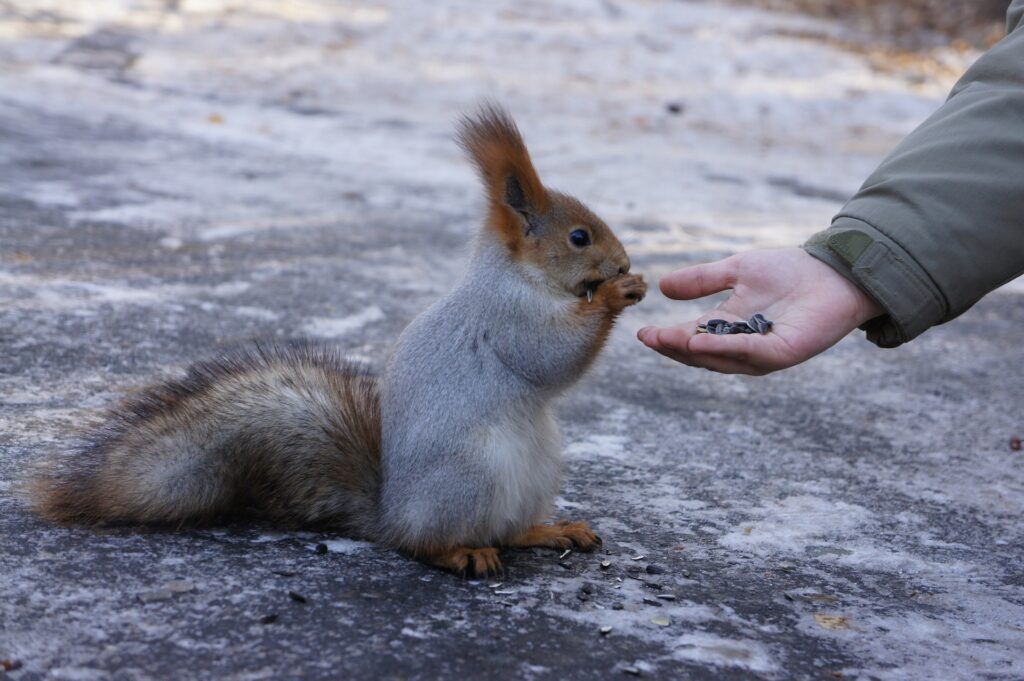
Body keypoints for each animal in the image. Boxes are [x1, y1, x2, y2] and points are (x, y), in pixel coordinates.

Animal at [28, 104, 647, 578]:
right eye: (579, 237)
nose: (623, 264)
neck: (519, 275)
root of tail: (392, 515)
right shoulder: (506, 317)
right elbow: (549, 357)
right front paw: (614, 296)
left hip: (537, 469)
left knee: (508, 530)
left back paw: (551, 530)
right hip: (469, 477)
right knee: (429, 544)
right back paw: (462, 553)